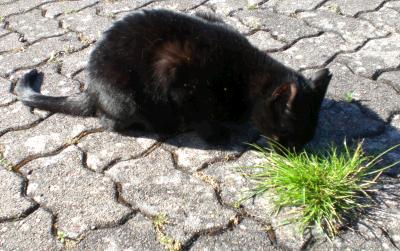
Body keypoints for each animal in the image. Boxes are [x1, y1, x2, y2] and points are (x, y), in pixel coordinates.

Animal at [15, 9, 332, 149]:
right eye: (288, 132)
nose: (293, 152)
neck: (245, 76)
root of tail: (90, 88)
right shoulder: (180, 77)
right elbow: (201, 116)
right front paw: (217, 135)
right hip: (126, 99)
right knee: (108, 121)